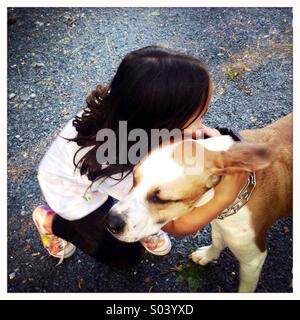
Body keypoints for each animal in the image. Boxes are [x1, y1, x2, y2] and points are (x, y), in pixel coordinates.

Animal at [106, 113, 292, 292]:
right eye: (134, 178)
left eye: (162, 199)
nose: (111, 222)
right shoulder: (218, 222)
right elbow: (216, 240)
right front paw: (208, 255)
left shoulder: (253, 259)